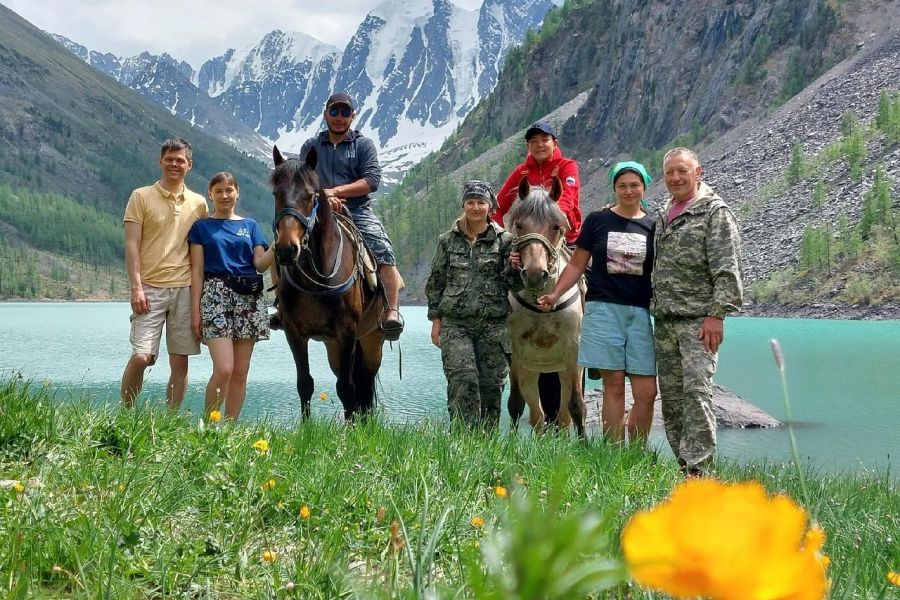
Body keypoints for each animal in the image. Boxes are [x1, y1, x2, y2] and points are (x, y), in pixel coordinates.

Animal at [268, 146, 384, 420]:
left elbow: (346, 388)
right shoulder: (294, 332)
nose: (287, 249)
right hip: (334, 347)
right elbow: (304, 383)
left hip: (371, 341)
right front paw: (306, 426)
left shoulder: (347, 332)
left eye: (310, 196)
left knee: (365, 382)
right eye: (276, 194)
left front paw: (352, 427)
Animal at [506, 176, 584, 434]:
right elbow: (515, 404)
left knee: (563, 415)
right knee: (537, 416)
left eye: (556, 227)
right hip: (532, 371)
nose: (533, 275)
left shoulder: (573, 354)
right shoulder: (516, 356)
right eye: (520, 225)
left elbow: (576, 405)